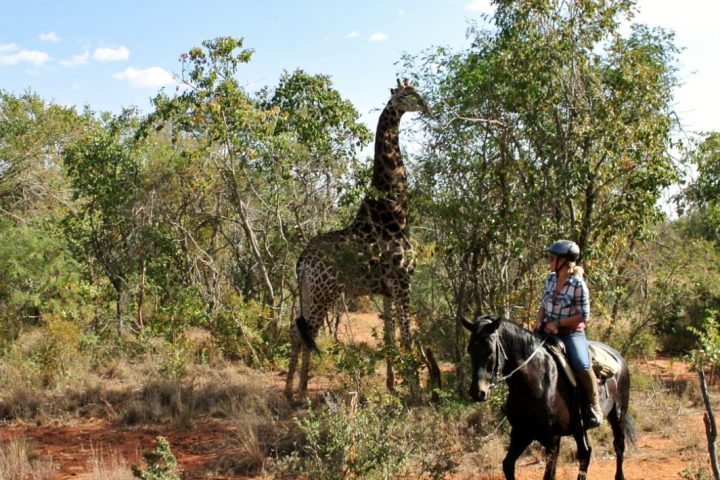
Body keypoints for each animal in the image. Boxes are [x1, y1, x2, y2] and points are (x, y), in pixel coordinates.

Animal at [282, 80, 428, 400]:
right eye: (407, 96)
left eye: (418, 93)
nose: (427, 106)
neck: (395, 214)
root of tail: (301, 261)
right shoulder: (403, 280)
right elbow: (408, 336)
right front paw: (415, 389)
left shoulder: (387, 290)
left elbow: (390, 337)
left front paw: (392, 386)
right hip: (324, 292)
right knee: (308, 332)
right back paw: (300, 393)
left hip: (307, 292)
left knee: (296, 331)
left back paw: (289, 390)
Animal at [462, 316, 636, 480]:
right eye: (470, 350)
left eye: (490, 351)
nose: (478, 392)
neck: (534, 381)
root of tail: (618, 356)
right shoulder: (521, 432)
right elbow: (508, 465)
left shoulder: (552, 440)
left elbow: (548, 475)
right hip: (578, 428)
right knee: (585, 453)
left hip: (617, 415)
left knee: (618, 445)